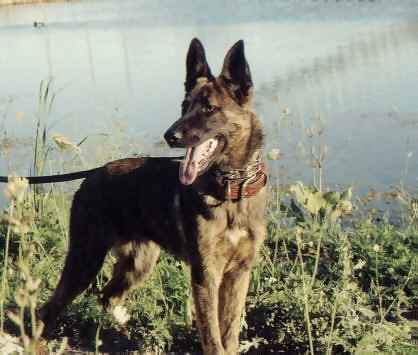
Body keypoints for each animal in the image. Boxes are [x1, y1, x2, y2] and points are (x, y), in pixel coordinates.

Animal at [40, 39, 268, 355]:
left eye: (210, 108)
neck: (231, 192)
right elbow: (213, 337)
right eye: (184, 106)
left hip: (139, 263)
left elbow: (229, 332)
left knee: (107, 297)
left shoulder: (239, 273)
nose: (170, 136)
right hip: (86, 259)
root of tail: (94, 174)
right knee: (49, 309)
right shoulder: (205, 274)